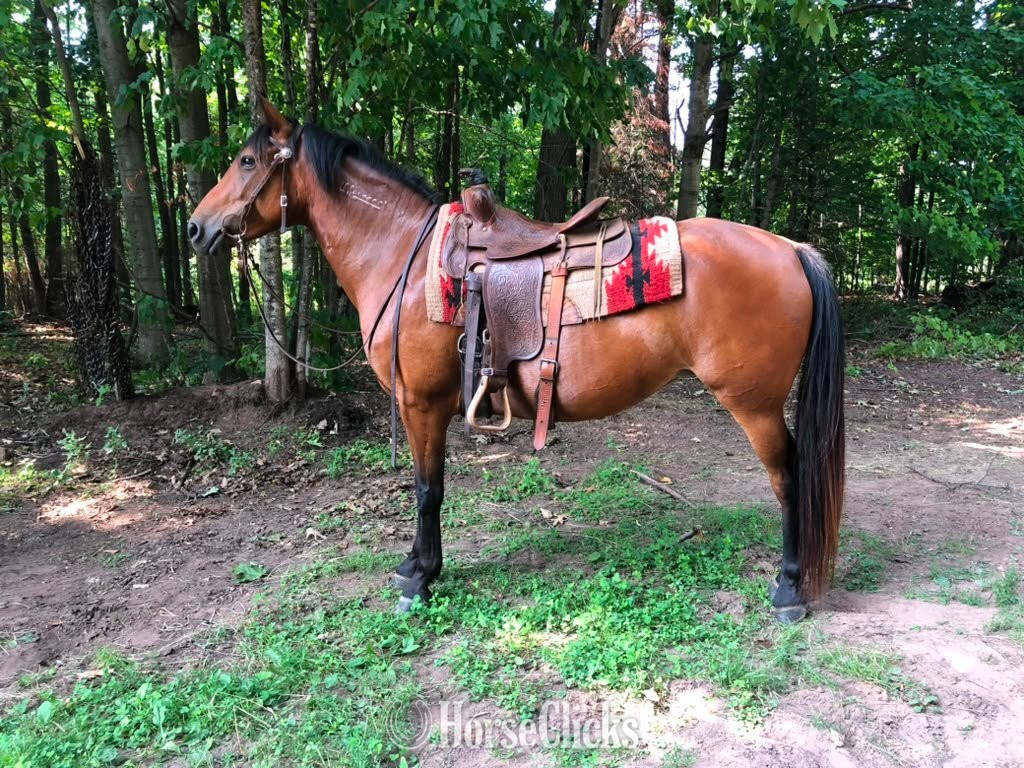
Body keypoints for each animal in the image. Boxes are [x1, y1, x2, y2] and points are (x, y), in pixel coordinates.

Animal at [188, 99, 845, 623]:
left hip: (754, 404)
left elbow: (426, 489)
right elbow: (430, 487)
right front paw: (418, 565)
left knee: (789, 477)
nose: (195, 227)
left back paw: (789, 589)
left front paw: (420, 576)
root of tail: (791, 248)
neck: (402, 257)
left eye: (246, 162)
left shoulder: (422, 403)